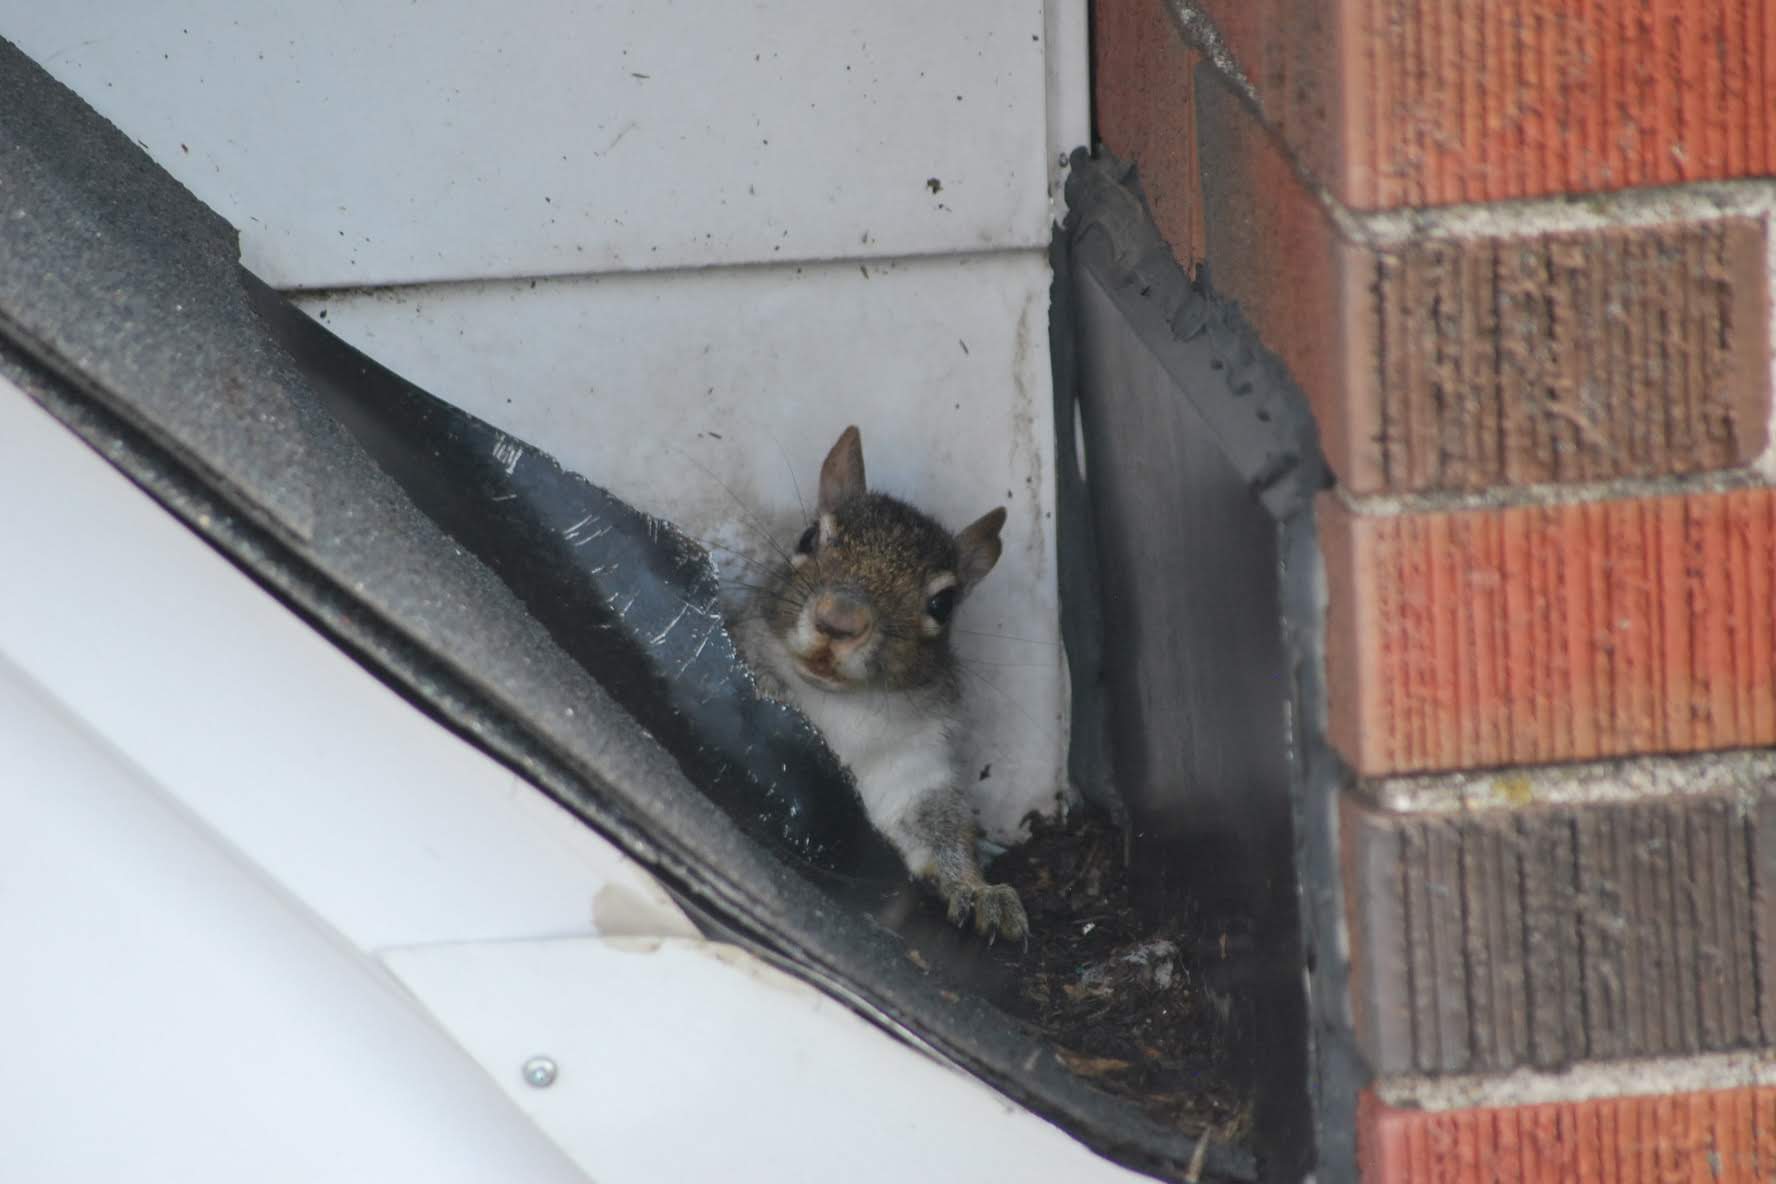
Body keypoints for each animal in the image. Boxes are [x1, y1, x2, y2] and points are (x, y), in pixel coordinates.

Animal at [724, 426, 1030, 944]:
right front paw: (769, 685)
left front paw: (977, 889)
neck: (840, 707)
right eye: (809, 536)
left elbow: (941, 829)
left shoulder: (915, 768)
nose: (839, 620)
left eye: (944, 603)